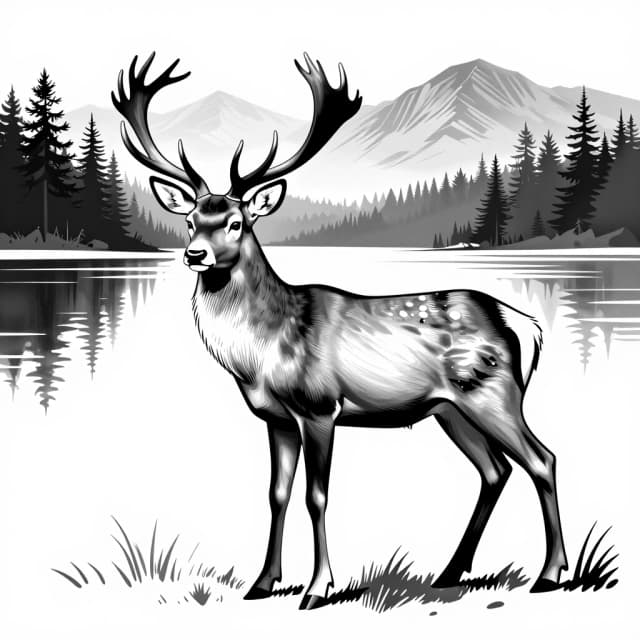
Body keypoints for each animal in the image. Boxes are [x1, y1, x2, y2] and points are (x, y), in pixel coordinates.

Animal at [112, 53, 568, 610]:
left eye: (238, 222)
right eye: (192, 220)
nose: (194, 254)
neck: (261, 356)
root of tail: (525, 325)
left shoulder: (319, 406)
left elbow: (317, 496)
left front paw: (317, 586)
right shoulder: (276, 419)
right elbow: (276, 494)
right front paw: (262, 583)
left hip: (494, 393)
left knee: (542, 459)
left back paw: (550, 573)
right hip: (449, 409)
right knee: (495, 470)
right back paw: (451, 571)